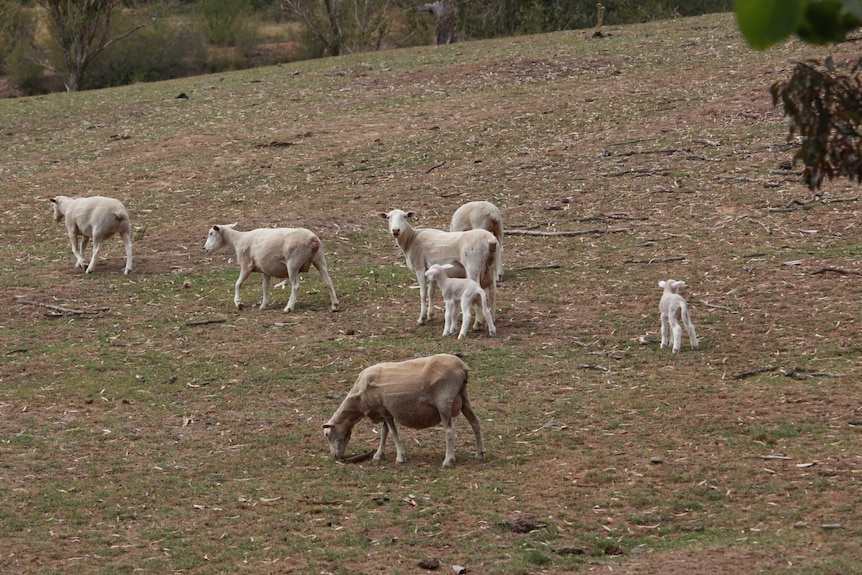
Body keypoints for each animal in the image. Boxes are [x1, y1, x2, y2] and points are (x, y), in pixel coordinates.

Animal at [204, 225, 340, 316]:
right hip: (319, 259)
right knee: (328, 281)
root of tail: (312, 239)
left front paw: (238, 303)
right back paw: (334, 305)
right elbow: (264, 287)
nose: (205, 248)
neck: (238, 239)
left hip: (293, 263)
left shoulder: (246, 265)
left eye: (211, 233)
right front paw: (264, 305)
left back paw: (288, 308)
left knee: (295, 286)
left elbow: (237, 283)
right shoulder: (266, 270)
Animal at [324, 354, 486, 470]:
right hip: (464, 397)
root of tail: (462, 367)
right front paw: (379, 455)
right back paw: (480, 454)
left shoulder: (384, 410)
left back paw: (448, 461)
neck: (358, 400)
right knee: (475, 423)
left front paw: (400, 457)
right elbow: (384, 432)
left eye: (327, 435)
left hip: (444, 401)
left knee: (450, 430)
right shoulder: (385, 411)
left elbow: (392, 432)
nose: (335, 456)